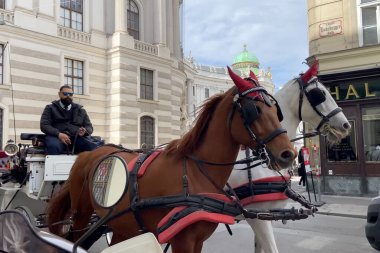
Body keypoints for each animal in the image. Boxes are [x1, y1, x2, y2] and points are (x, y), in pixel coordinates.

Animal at [46, 67, 296, 253]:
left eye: (276, 110)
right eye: (255, 109)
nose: (288, 154)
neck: (194, 172)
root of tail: (87, 154)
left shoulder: (198, 240)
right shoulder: (181, 240)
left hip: (120, 223)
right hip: (82, 214)